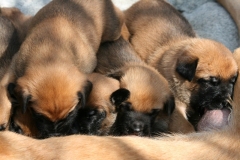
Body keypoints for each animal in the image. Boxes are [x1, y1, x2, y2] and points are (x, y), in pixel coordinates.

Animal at [2, 0, 124, 138]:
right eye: (39, 117)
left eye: (71, 114)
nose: (55, 134)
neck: (51, 54)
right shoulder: (15, 65)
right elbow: (4, 83)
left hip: (114, 31)